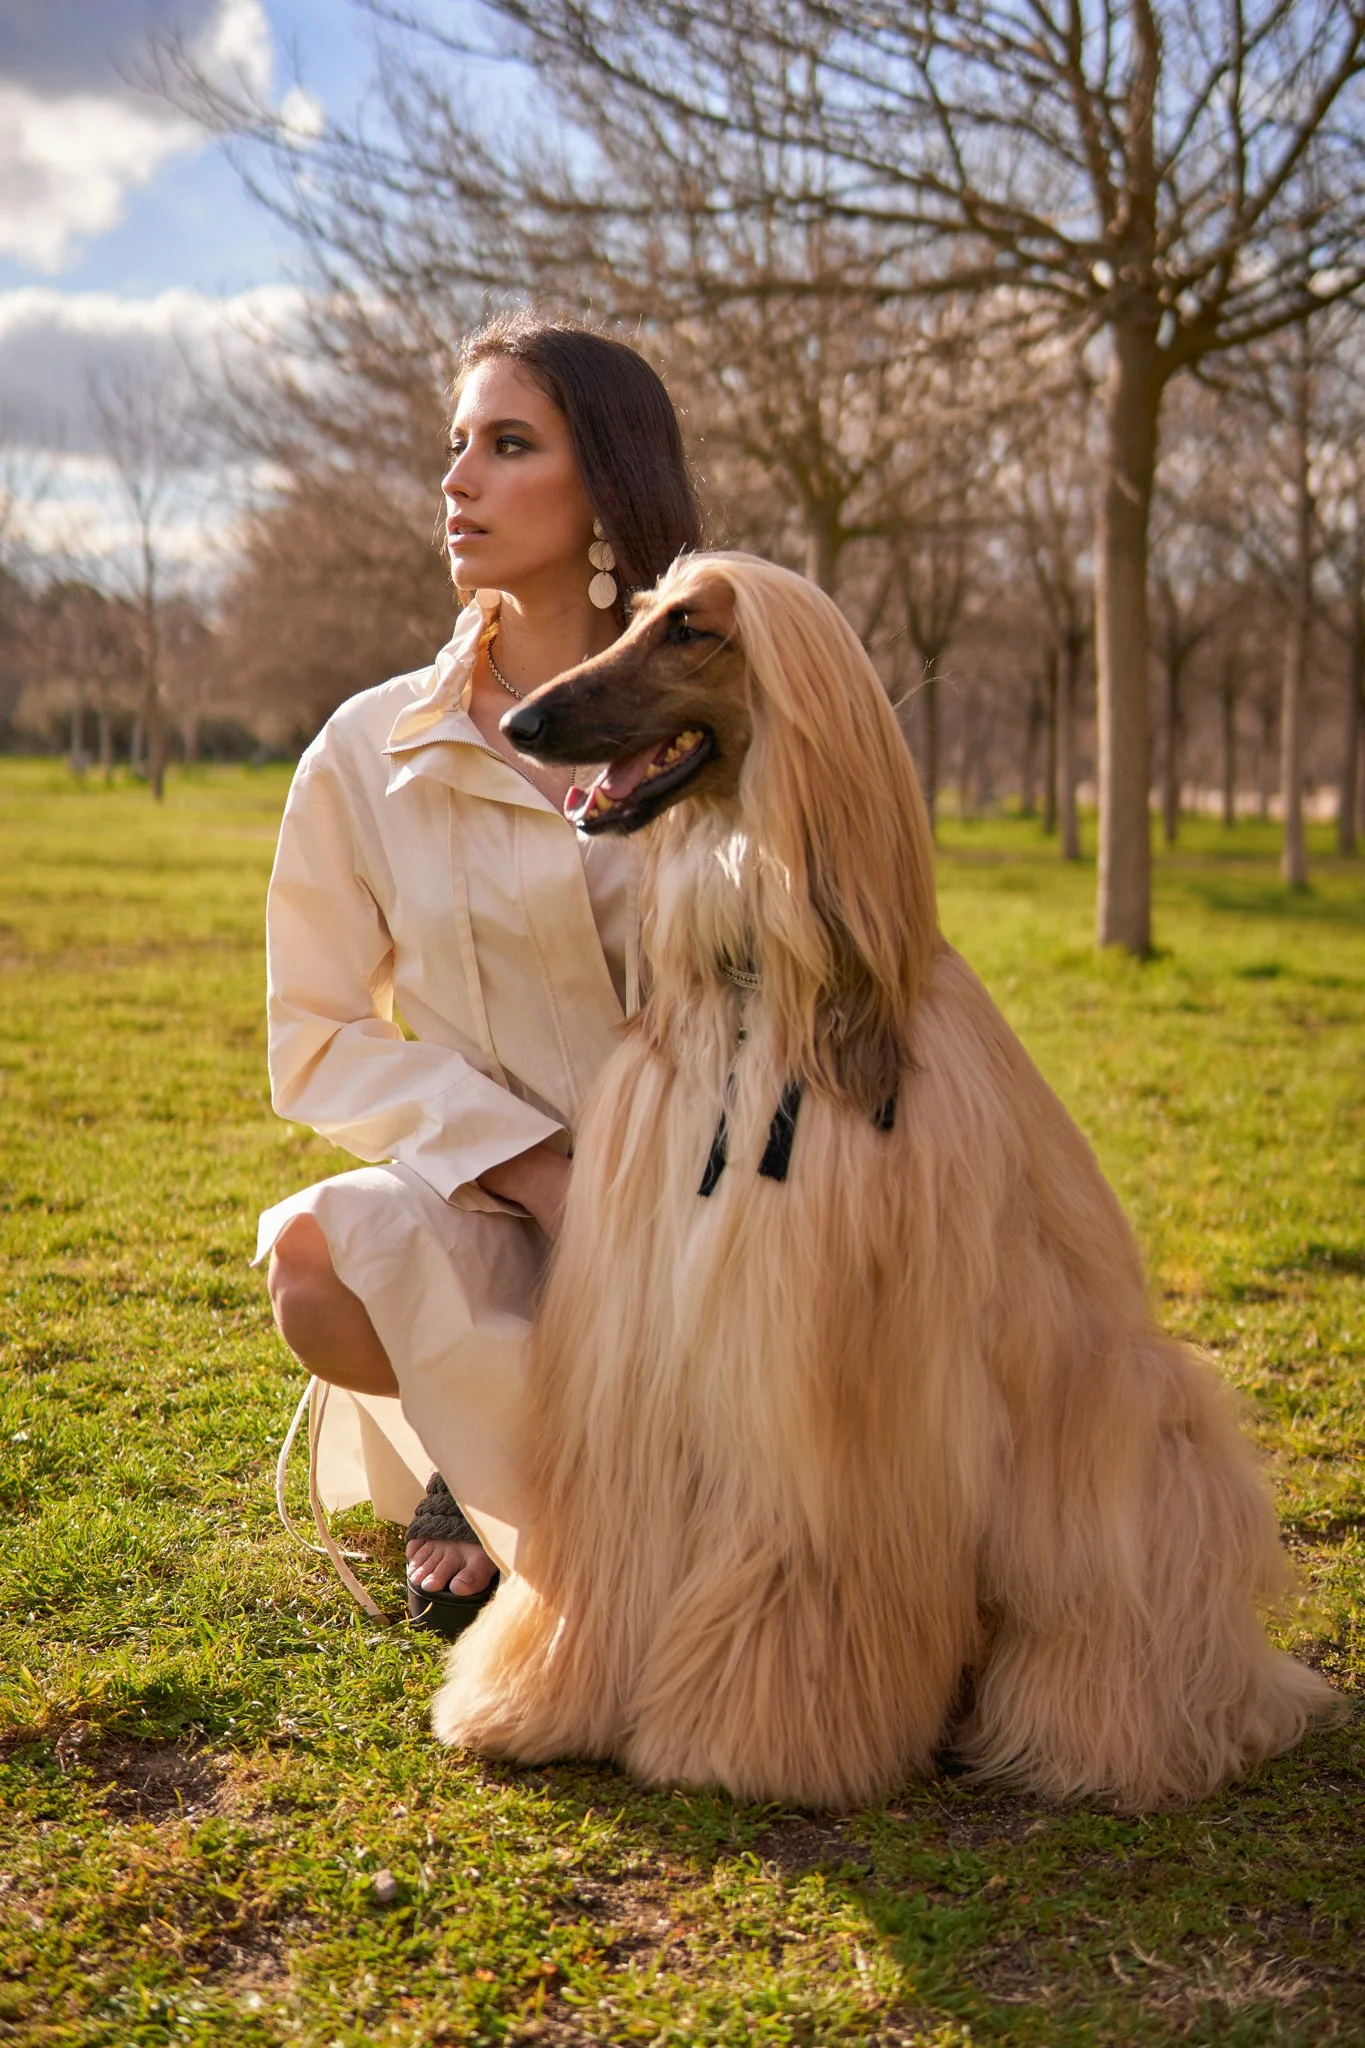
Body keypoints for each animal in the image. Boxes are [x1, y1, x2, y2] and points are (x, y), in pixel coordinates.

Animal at [430, 552, 1336, 1811]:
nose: (522, 721)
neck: (767, 989)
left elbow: (806, 1571)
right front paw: (539, 1693)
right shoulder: (642, 1362)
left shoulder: (834, 1391)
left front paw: (754, 1733)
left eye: (691, 630)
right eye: (639, 615)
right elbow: (612, 1547)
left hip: (1125, 1426)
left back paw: (1095, 1732)